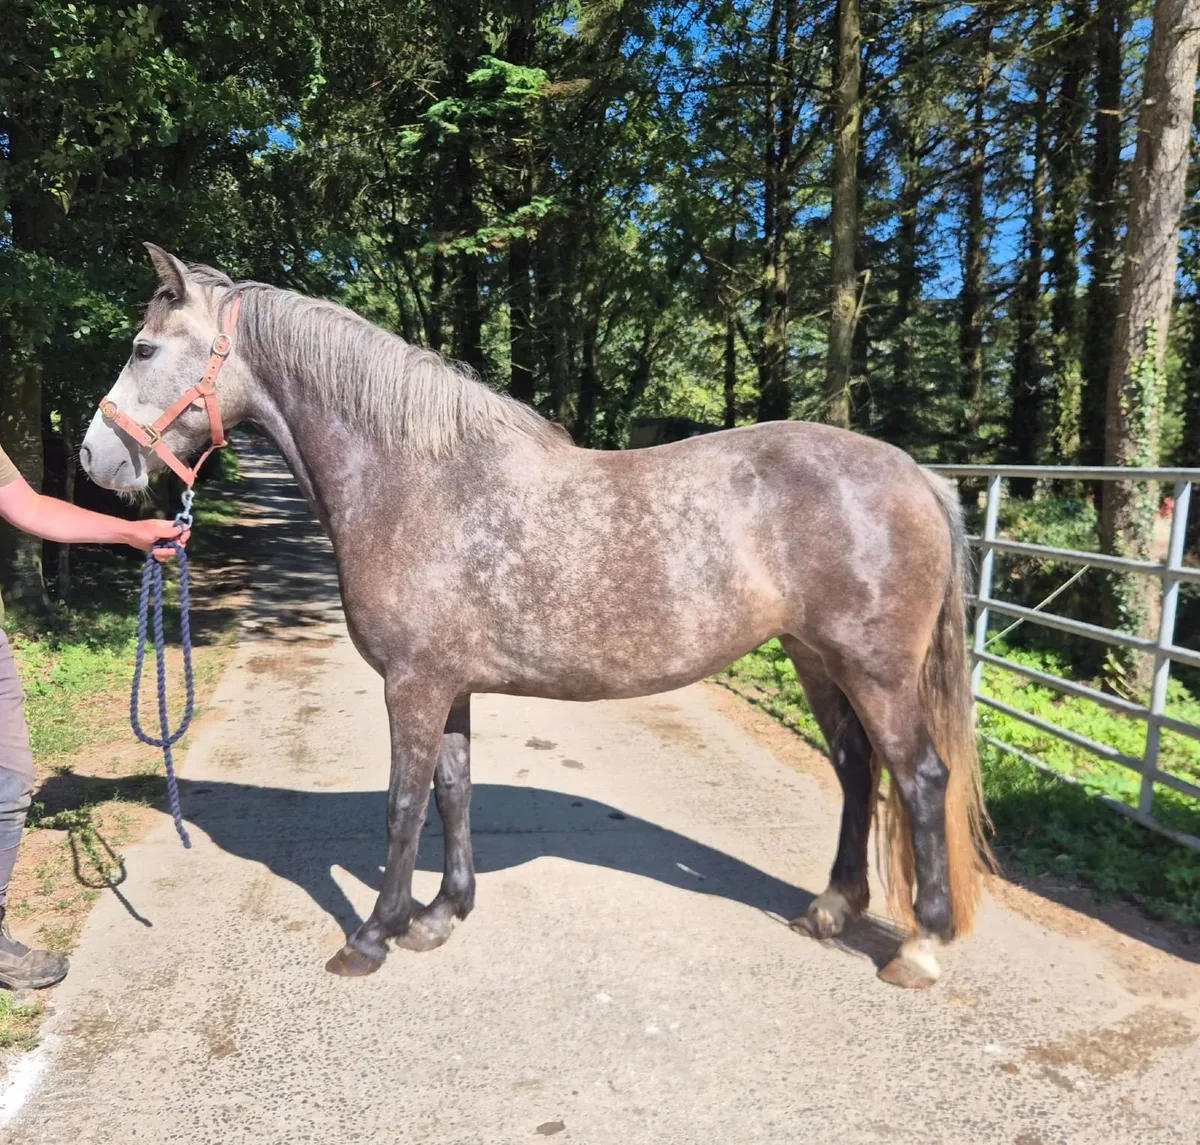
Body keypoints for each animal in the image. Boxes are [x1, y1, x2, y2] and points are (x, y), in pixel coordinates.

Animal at [80, 244, 991, 989]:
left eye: (144, 349)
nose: (95, 457)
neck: (412, 480)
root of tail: (917, 472)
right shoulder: (448, 687)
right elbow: (454, 792)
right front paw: (440, 917)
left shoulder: (412, 685)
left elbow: (402, 806)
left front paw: (372, 936)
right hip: (815, 658)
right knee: (856, 771)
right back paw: (831, 908)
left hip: (876, 671)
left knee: (919, 776)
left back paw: (920, 946)